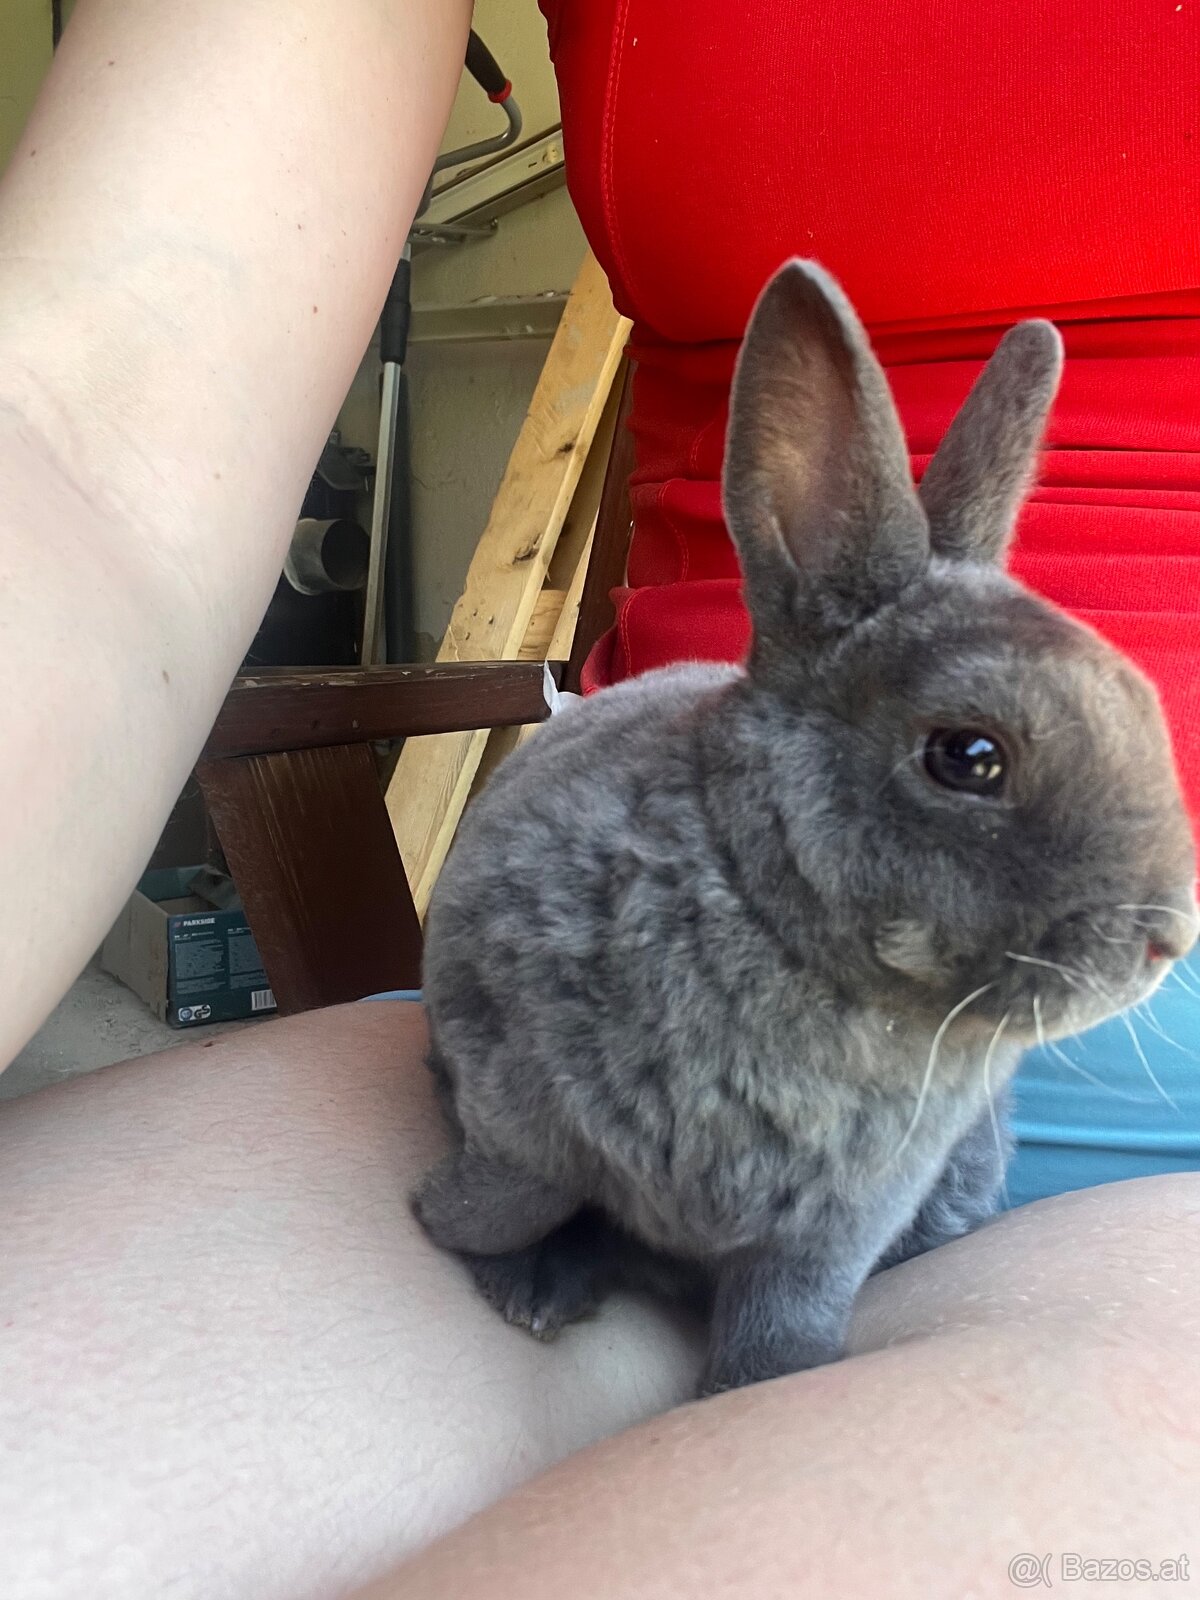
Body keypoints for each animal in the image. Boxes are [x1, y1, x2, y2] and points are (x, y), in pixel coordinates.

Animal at [412, 260, 1198, 1396]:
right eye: (969, 756)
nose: (1166, 937)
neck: (779, 925)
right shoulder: (513, 1096)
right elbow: (518, 1193)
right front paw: (469, 1246)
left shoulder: (839, 1221)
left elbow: (789, 1305)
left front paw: (761, 1382)